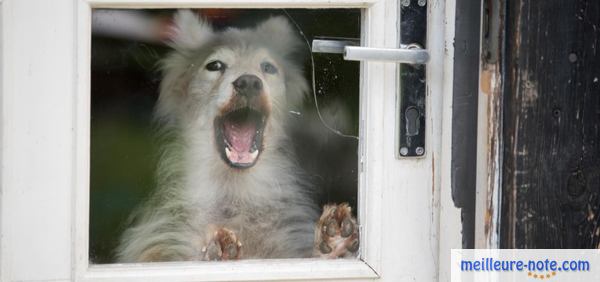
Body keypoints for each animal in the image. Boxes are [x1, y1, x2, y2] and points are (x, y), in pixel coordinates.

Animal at [117, 10, 358, 262]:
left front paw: (334, 242)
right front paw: (216, 251)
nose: (249, 82)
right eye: (215, 65)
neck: (233, 192)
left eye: (268, 67)